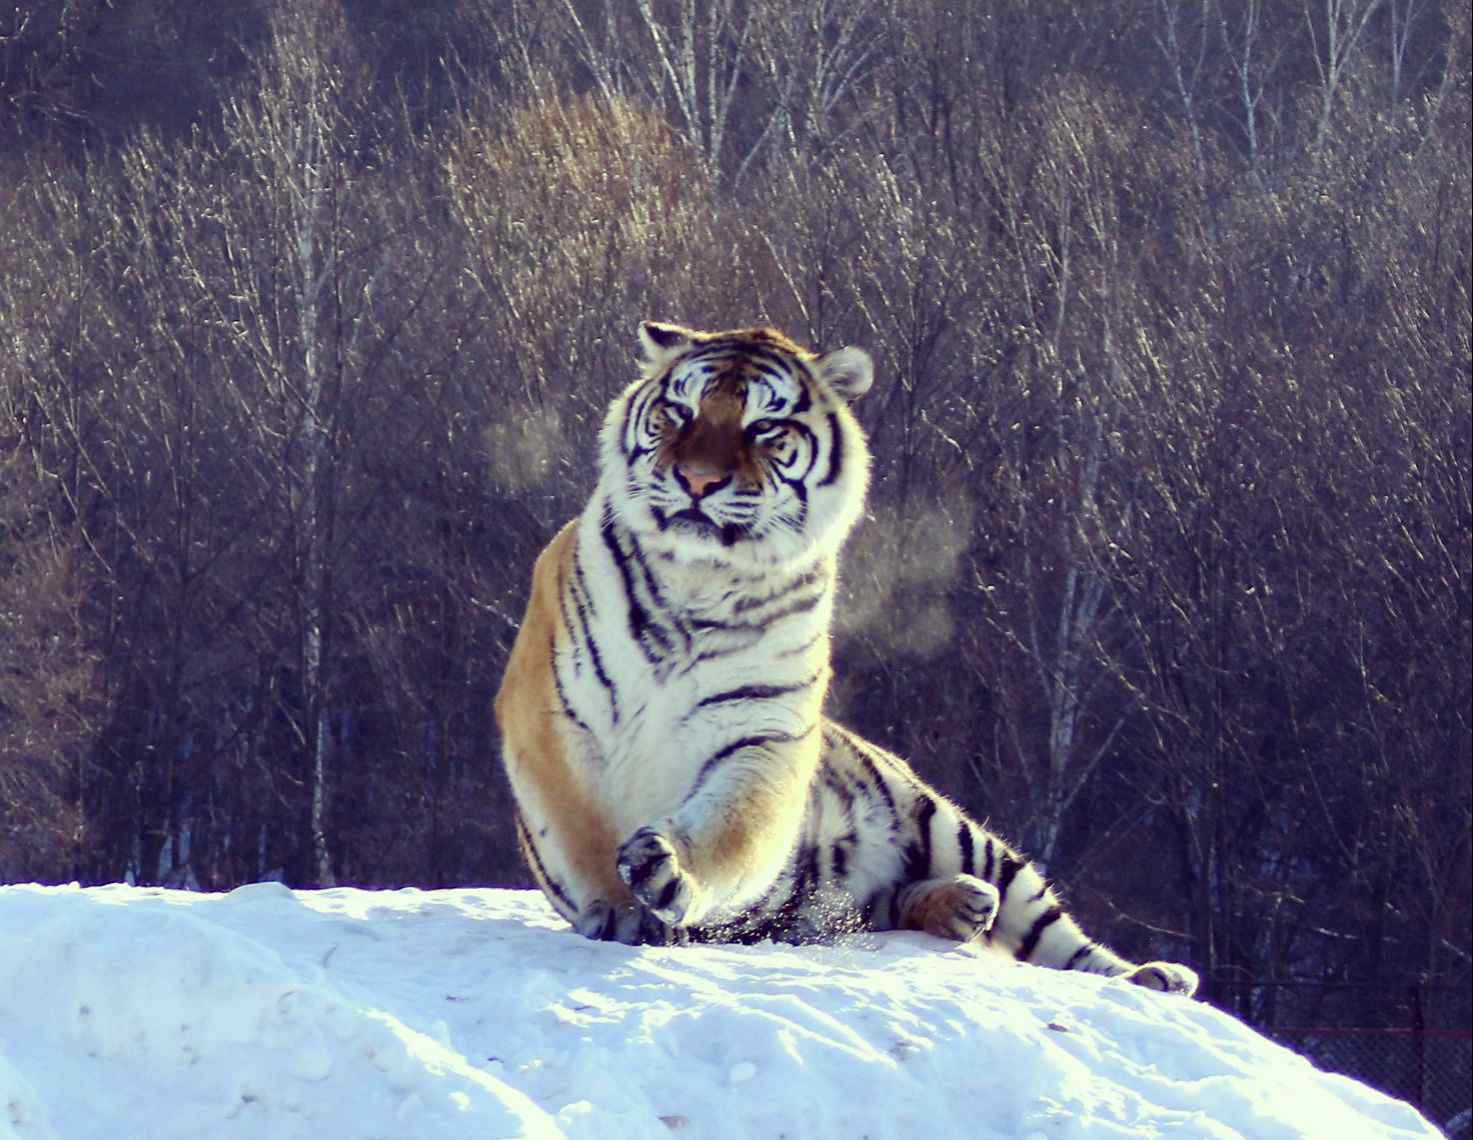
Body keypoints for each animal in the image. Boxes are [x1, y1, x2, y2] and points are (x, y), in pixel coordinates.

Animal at [491, 316, 1196, 995]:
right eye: (681, 412)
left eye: (763, 426)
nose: (696, 480)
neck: (700, 577)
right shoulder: (550, 714)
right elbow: (577, 825)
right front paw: (619, 907)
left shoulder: (762, 735)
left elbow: (734, 829)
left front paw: (669, 872)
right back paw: (963, 906)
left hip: (954, 829)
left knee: (1057, 938)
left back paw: (1151, 975)